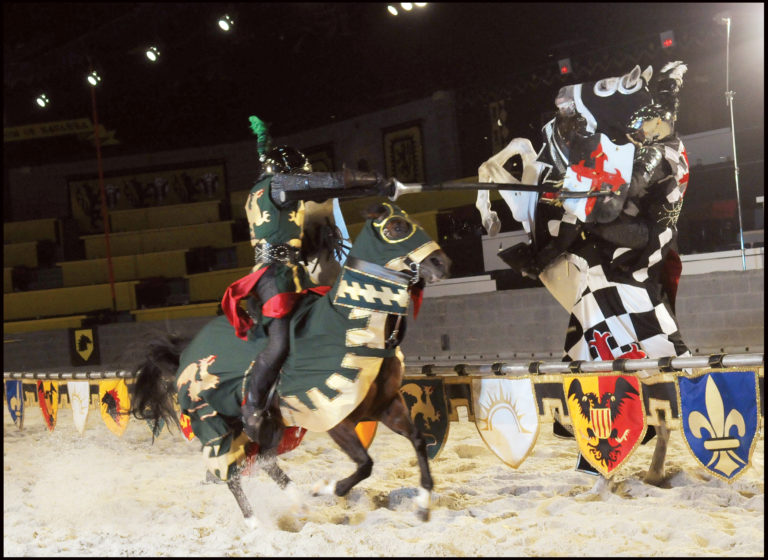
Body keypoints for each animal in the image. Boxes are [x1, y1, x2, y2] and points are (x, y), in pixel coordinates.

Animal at [131, 202, 450, 524]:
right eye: (396, 227)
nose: (441, 263)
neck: (350, 329)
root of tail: (183, 356)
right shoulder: (337, 420)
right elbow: (365, 463)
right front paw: (326, 488)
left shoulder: (388, 406)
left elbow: (418, 441)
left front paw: (423, 504)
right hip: (214, 426)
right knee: (232, 474)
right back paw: (256, 524)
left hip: (268, 428)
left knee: (265, 461)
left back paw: (299, 505)